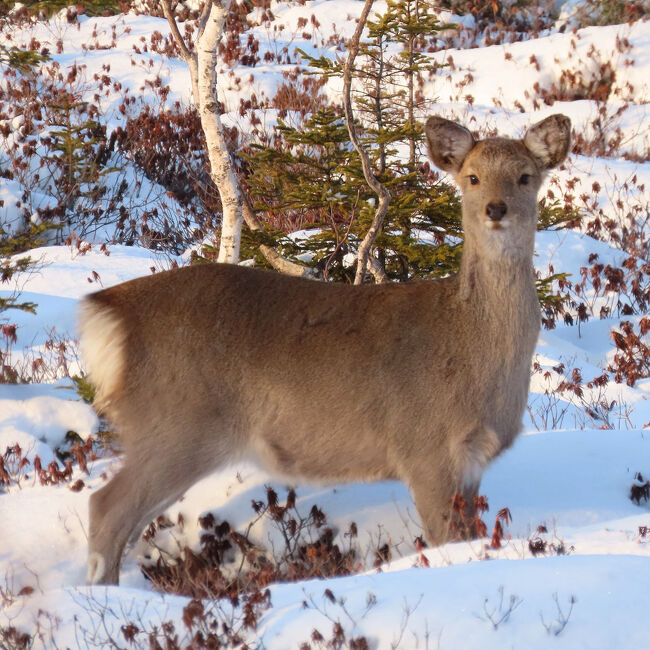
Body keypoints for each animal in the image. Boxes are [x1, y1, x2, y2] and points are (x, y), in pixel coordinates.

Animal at [79, 112, 568, 584]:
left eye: (525, 176)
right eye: (472, 177)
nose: (495, 208)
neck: (471, 343)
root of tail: (109, 311)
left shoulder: (471, 463)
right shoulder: (424, 448)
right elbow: (445, 541)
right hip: (175, 422)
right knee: (105, 508)